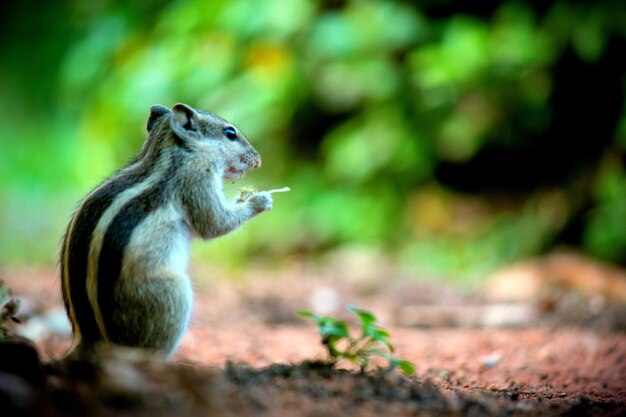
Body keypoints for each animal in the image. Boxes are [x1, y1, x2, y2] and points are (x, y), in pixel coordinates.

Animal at [59, 102, 272, 356]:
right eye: (230, 133)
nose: (258, 160)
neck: (166, 153)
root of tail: (89, 341)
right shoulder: (196, 179)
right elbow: (214, 223)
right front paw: (260, 200)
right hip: (172, 297)